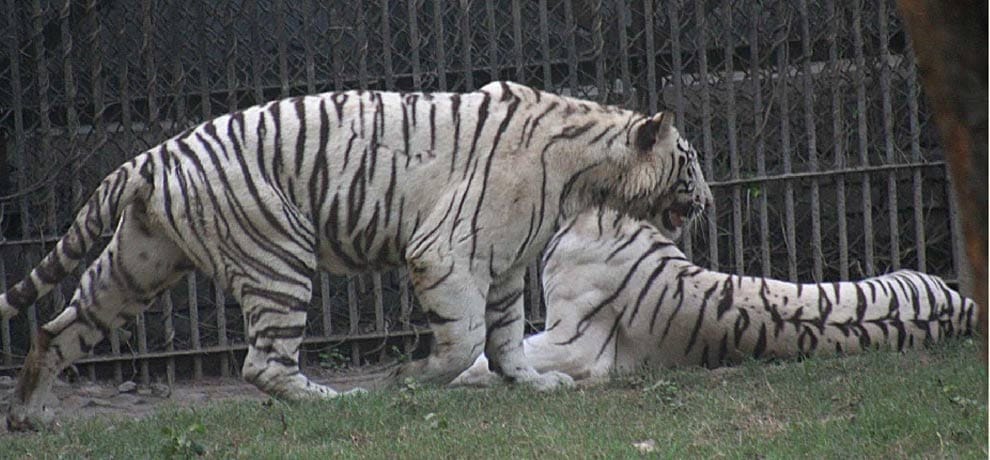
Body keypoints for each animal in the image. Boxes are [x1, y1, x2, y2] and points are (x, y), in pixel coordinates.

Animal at [0, 81, 707, 430]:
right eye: (690, 162)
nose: (704, 201)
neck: (588, 169)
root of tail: (152, 156)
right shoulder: (449, 252)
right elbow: (465, 339)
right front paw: (407, 380)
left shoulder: (504, 264)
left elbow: (505, 337)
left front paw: (532, 383)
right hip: (278, 258)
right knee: (264, 364)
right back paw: (337, 402)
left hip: (138, 265)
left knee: (56, 331)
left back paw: (31, 417)